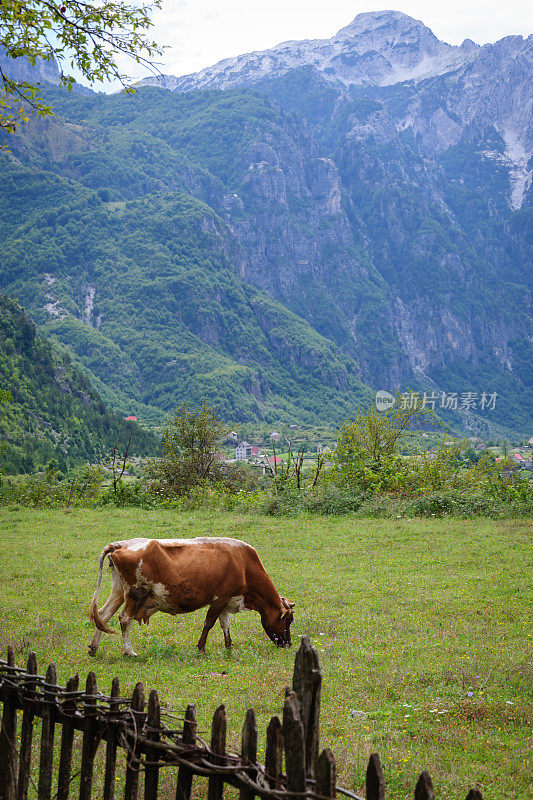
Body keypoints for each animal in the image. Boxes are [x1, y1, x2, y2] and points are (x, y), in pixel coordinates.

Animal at [88, 536, 296, 656]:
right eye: (288, 621)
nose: (288, 643)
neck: (243, 563)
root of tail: (119, 544)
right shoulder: (220, 598)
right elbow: (209, 623)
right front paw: (201, 647)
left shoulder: (226, 598)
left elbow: (225, 624)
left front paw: (229, 646)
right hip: (135, 592)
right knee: (124, 618)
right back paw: (129, 651)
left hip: (118, 592)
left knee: (103, 616)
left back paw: (93, 648)